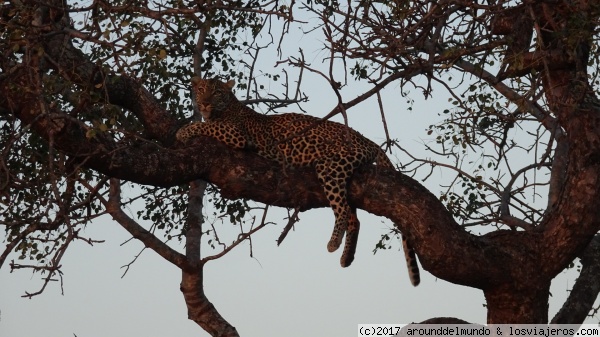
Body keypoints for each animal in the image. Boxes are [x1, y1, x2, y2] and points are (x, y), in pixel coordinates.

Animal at [177, 77, 422, 284]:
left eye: (216, 92)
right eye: (201, 90)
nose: (205, 104)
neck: (226, 108)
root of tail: (368, 140)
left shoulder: (236, 134)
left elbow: (207, 126)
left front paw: (182, 131)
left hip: (331, 165)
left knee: (342, 209)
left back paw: (333, 243)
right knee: (354, 218)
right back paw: (346, 257)